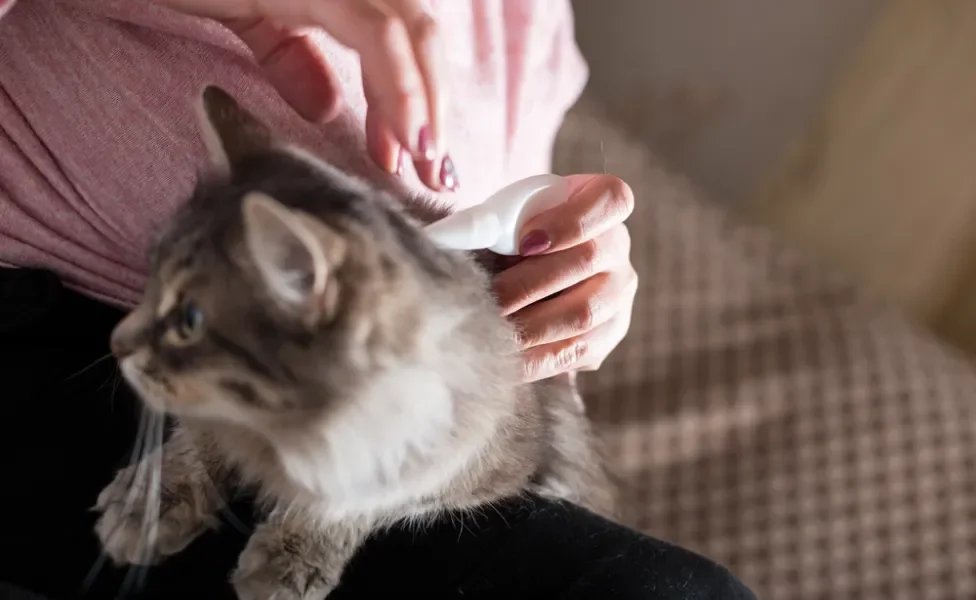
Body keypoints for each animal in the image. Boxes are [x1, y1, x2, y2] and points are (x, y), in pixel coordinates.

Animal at [95, 85, 612, 600]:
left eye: (189, 320)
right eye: (151, 279)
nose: (116, 342)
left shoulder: (464, 465)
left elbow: (355, 502)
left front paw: (292, 557)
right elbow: (197, 444)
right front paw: (151, 502)